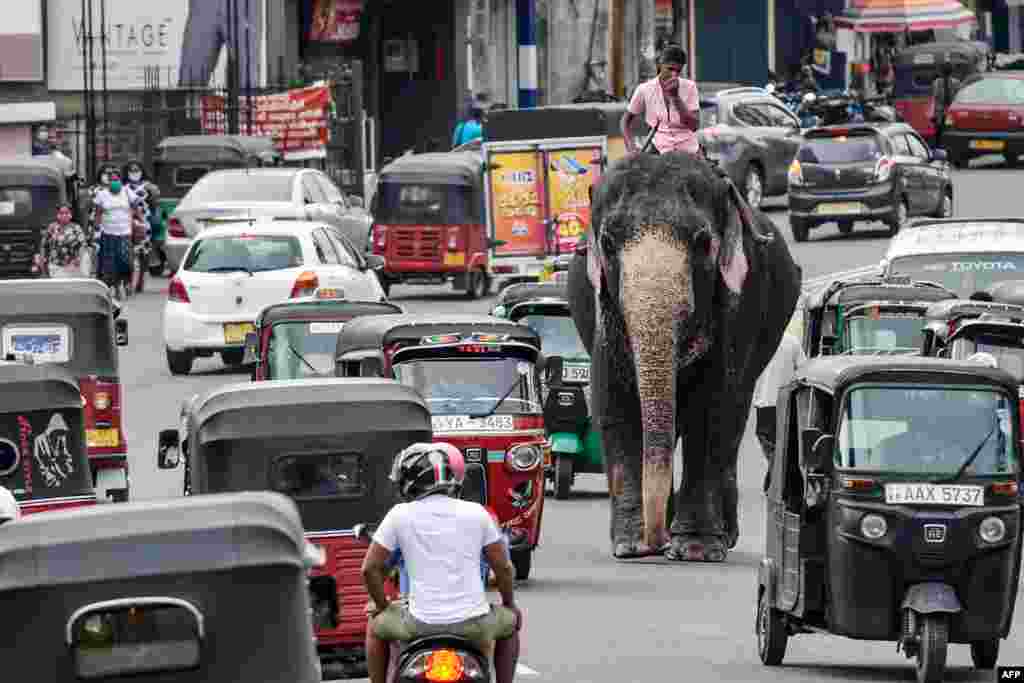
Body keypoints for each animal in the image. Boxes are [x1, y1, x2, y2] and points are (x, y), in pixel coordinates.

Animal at [569, 152, 798, 565]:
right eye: (607, 243)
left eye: (704, 242)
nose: (655, 540)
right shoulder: (602, 310)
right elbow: (614, 403)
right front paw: (632, 547)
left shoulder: (740, 302)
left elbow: (710, 409)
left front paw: (695, 550)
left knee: (734, 416)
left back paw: (724, 535)